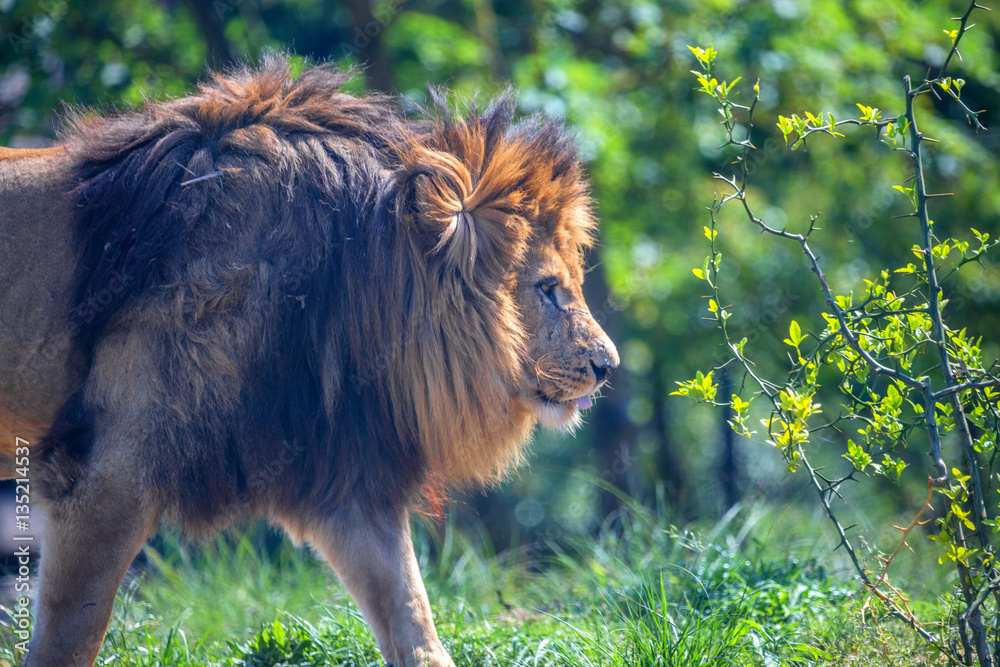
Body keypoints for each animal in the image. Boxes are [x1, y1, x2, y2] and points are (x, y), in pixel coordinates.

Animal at [0, 57, 617, 667]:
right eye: (548, 288)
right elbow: (72, 635)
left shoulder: (342, 477)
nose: (608, 366)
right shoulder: (104, 473)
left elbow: (415, 625)